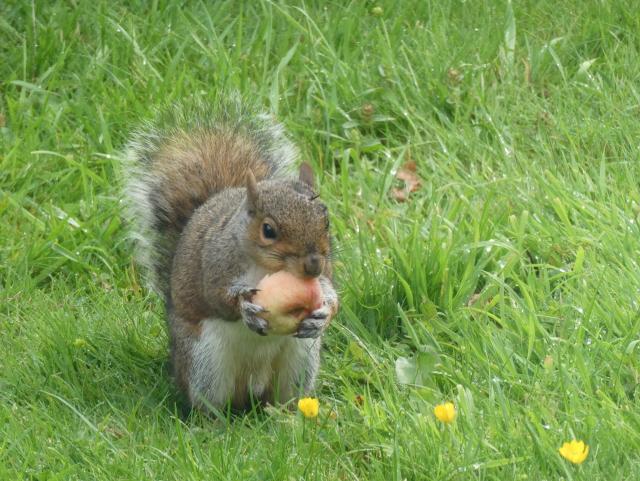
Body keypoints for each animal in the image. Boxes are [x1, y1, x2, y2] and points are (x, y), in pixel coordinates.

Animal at [122, 99, 339, 413]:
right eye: (268, 230)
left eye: (326, 221)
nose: (313, 265)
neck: (265, 267)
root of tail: (251, 389)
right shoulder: (215, 264)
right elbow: (217, 297)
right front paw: (244, 306)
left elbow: (330, 293)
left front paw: (323, 314)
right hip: (204, 362)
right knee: (207, 403)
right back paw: (212, 421)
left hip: (300, 360)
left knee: (285, 398)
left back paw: (287, 416)